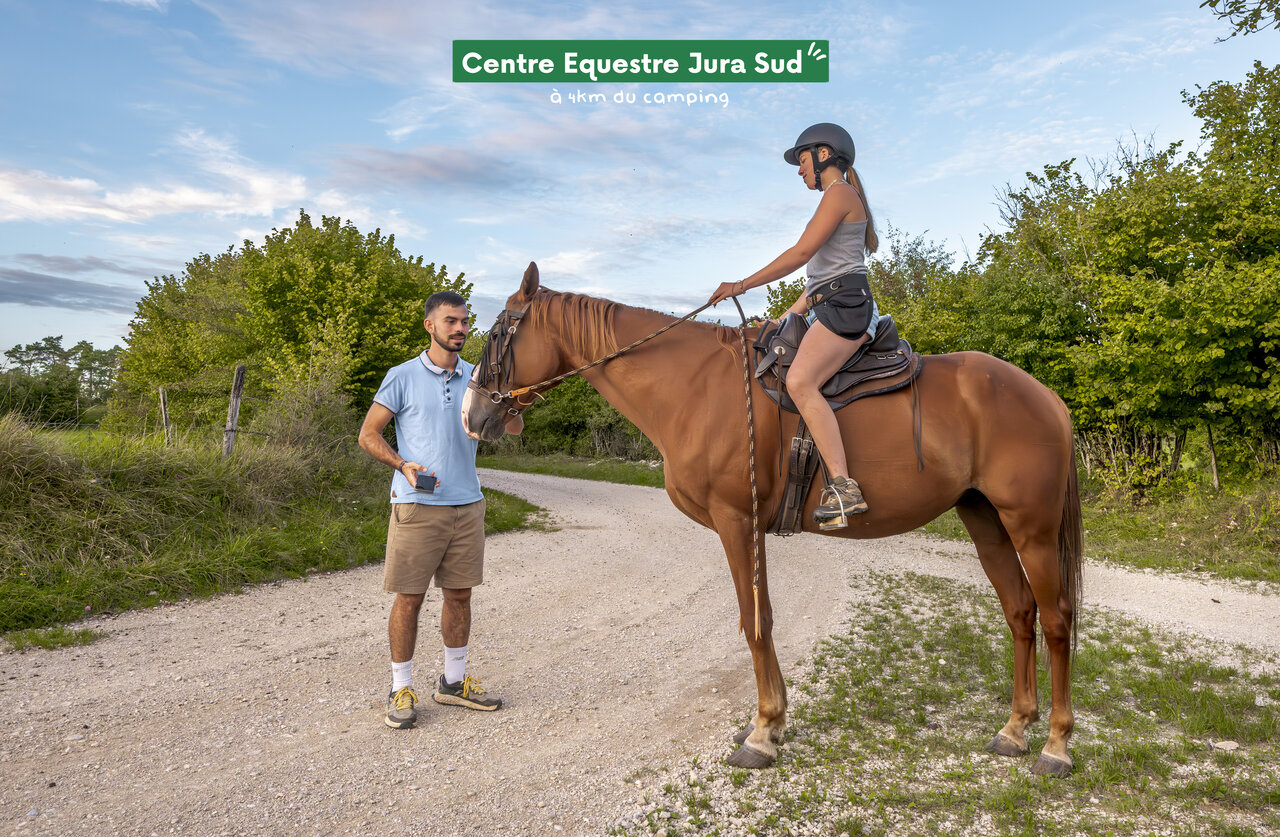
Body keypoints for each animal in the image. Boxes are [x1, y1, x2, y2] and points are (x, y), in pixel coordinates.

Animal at [462, 262, 1083, 776]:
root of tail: (1046, 397)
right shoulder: (749, 528)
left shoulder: (737, 522)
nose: (473, 416)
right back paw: (1014, 729)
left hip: (1030, 526)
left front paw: (762, 732)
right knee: (1020, 612)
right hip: (986, 520)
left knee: (1056, 619)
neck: (691, 385)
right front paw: (774, 721)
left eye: (496, 334)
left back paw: (1055, 745)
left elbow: (753, 621)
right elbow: (762, 619)